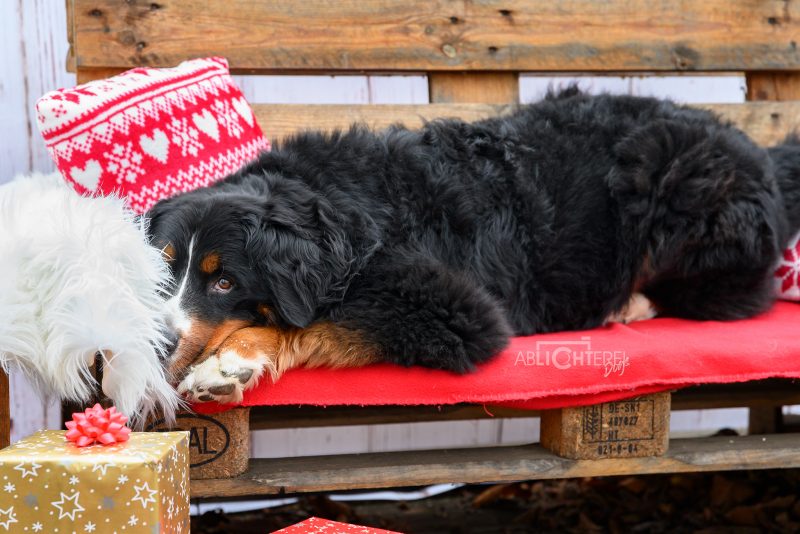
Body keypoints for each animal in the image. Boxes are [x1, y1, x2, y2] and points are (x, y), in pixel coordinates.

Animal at [145, 90, 800, 404]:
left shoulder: (455, 309)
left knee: (729, 294)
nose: (155, 343)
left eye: (225, 281)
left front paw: (229, 364)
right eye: (164, 274)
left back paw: (627, 305)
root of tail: (762, 154)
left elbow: (315, 322)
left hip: (676, 178)